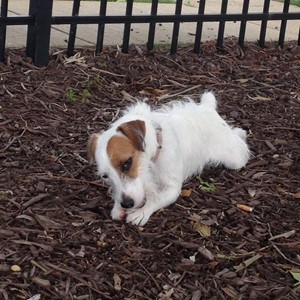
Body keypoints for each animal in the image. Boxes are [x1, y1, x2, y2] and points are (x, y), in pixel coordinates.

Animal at [87, 92, 251, 226]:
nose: (126, 204)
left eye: (127, 164)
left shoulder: (172, 188)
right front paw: (117, 207)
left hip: (234, 158)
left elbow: (157, 199)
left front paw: (142, 213)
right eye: (105, 176)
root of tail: (207, 107)